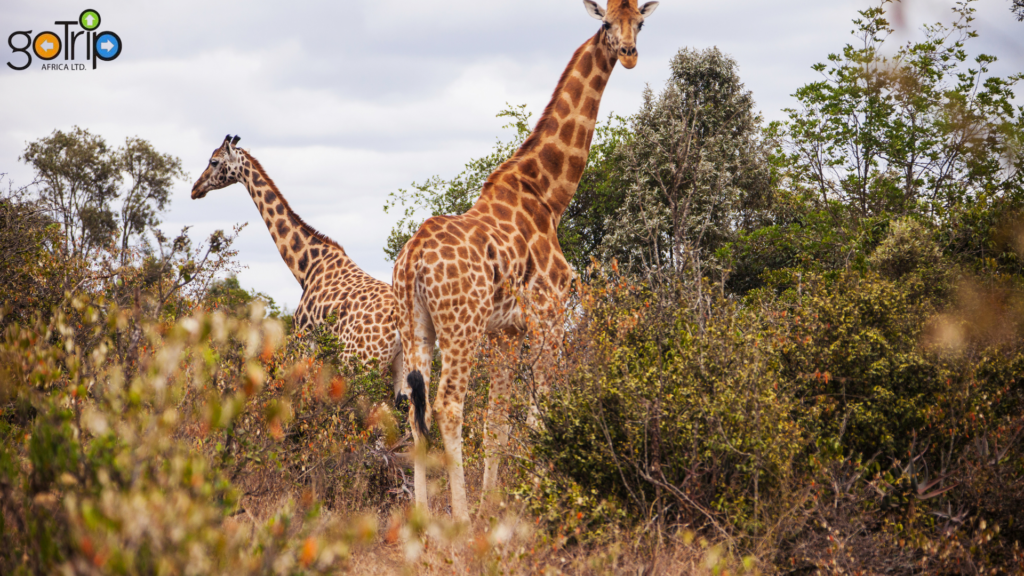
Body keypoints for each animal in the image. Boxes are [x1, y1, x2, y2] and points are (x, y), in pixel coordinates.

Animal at [393, 0, 660, 521]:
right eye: (605, 23)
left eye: (639, 22)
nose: (630, 54)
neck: (548, 193)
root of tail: (412, 258)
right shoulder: (548, 317)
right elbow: (540, 416)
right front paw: (530, 501)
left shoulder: (506, 332)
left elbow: (498, 421)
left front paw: (497, 502)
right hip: (461, 326)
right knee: (449, 405)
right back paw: (459, 519)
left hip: (417, 327)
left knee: (416, 410)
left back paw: (424, 520)